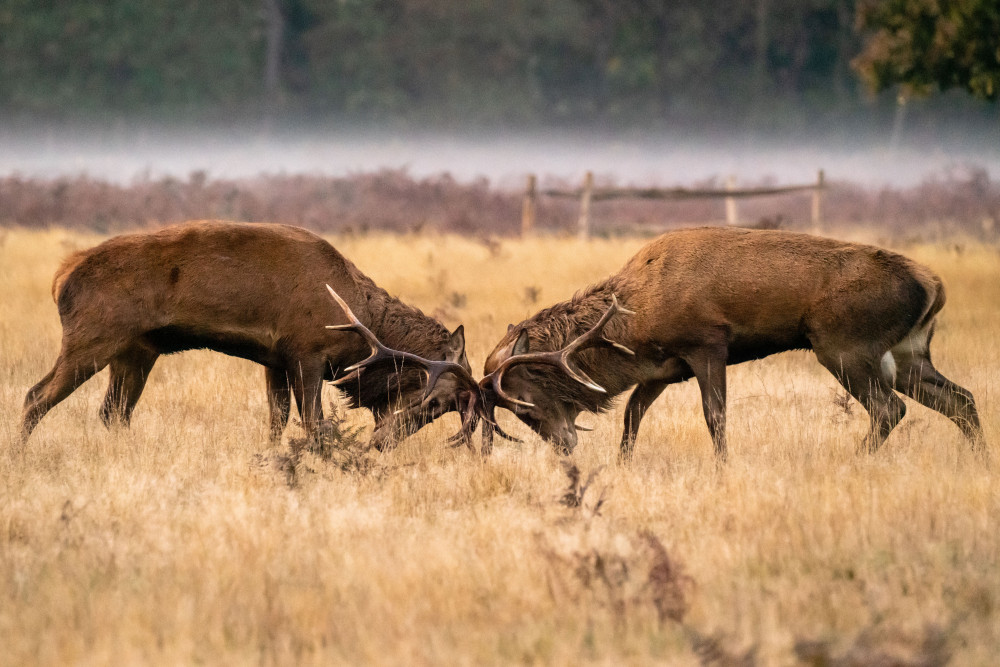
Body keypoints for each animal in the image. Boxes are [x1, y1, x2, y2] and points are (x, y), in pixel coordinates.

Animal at [19, 222, 480, 452]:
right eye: (436, 401)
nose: (384, 443)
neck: (359, 320)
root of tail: (61, 277)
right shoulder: (306, 353)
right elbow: (314, 424)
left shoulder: (275, 360)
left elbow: (276, 419)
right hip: (92, 338)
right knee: (36, 396)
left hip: (136, 351)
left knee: (113, 412)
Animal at [470, 226, 984, 460]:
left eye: (525, 403)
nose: (565, 446)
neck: (636, 324)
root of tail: (932, 285)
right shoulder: (662, 369)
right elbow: (633, 417)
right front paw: (622, 465)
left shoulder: (706, 343)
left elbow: (715, 416)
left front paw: (722, 467)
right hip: (909, 352)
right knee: (961, 399)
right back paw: (979, 460)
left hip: (845, 345)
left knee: (890, 409)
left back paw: (853, 461)